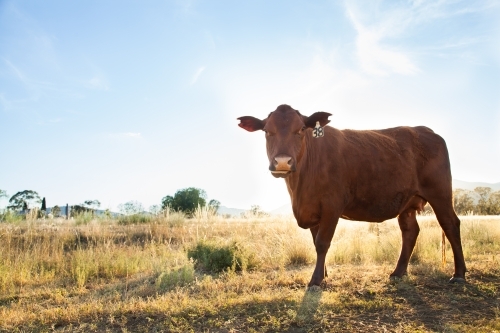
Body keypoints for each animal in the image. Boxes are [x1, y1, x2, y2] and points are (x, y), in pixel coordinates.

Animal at [237, 104, 464, 286]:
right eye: (267, 131)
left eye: (301, 129)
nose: (283, 162)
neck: (300, 188)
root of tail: (425, 130)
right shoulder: (311, 209)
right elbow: (315, 242)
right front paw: (324, 274)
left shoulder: (332, 206)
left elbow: (322, 243)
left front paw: (316, 280)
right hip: (407, 202)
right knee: (410, 231)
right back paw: (398, 272)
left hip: (440, 193)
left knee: (450, 224)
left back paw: (459, 274)